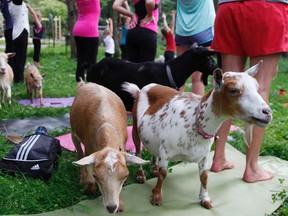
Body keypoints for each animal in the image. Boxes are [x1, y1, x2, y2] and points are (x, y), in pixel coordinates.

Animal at [70, 82, 148, 214]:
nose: (111, 207)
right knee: (80, 153)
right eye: (96, 176)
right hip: (73, 133)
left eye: (125, 175)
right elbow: (89, 178)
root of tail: (87, 83)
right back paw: (82, 178)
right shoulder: (89, 148)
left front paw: (120, 205)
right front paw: (88, 188)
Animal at [123, 60, 272, 209]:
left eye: (257, 87)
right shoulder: (165, 151)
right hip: (135, 128)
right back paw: (141, 176)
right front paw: (156, 197)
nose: (267, 112)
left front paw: (205, 199)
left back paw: (154, 168)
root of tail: (140, 90)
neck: (194, 119)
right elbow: (163, 174)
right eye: (233, 90)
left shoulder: (204, 156)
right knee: (138, 153)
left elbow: (204, 176)